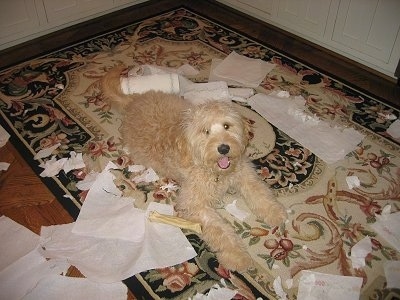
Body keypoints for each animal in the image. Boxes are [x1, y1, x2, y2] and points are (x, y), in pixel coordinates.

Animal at [101, 66, 286, 272]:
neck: (214, 171)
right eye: (206, 131)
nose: (224, 148)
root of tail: (134, 100)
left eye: (226, 126)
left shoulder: (244, 173)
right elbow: (220, 229)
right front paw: (238, 256)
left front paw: (275, 213)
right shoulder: (194, 204)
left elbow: (259, 192)